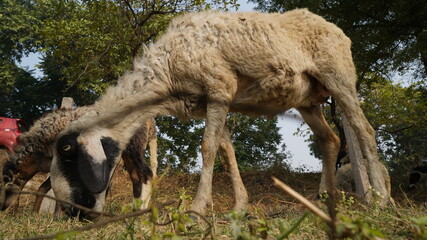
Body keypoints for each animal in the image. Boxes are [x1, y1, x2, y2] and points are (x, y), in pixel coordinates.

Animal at [0, 108, 157, 213]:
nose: (3, 212)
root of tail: (151, 123)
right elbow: (46, 187)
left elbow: (47, 187)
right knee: (136, 177)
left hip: (133, 147)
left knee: (146, 174)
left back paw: (140, 211)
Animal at [51, 9, 394, 218]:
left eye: (68, 154)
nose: (74, 215)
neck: (166, 74)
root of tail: (336, 29)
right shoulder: (211, 103)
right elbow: (226, 150)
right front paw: (240, 206)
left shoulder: (219, 87)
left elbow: (207, 148)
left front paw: (197, 209)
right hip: (308, 99)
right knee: (331, 139)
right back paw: (326, 197)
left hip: (338, 74)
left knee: (363, 130)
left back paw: (380, 199)